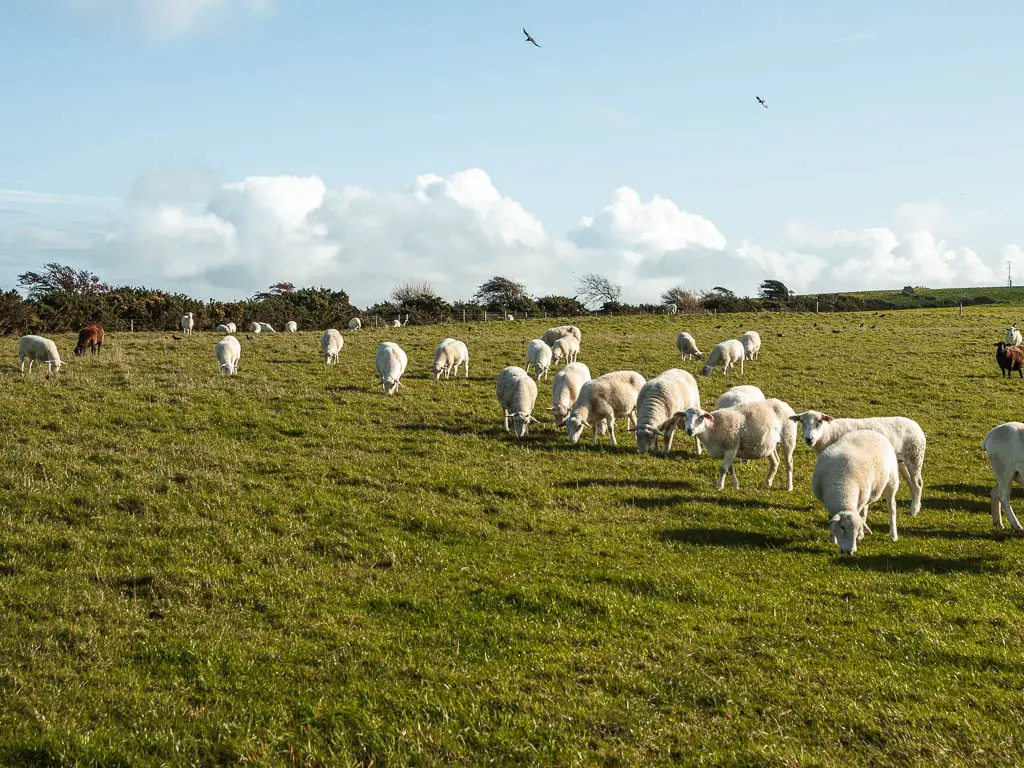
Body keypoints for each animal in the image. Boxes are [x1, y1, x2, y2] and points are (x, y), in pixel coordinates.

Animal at [790, 409, 929, 518]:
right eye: (802, 422)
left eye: (819, 422)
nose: (809, 439)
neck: (829, 433)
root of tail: (916, 425)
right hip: (901, 462)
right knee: (911, 483)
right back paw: (915, 505)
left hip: (915, 457)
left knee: (918, 483)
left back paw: (914, 510)